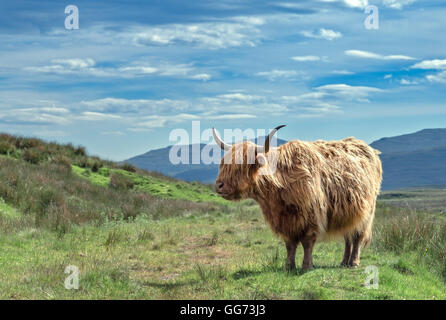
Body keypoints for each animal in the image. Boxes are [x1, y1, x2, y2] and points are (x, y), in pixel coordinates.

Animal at [213, 125, 384, 270]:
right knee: (348, 236)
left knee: (357, 236)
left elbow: (307, 242)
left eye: (240, 167)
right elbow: (290, 244)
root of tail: (369, 149)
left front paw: (307, 266)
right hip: (348, 213)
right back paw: (344, 262)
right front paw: (289, 266)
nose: (219, 185)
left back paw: (353, 262)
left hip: (366, 213)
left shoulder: (312, 215)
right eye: (223, 164)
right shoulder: (285, 221)